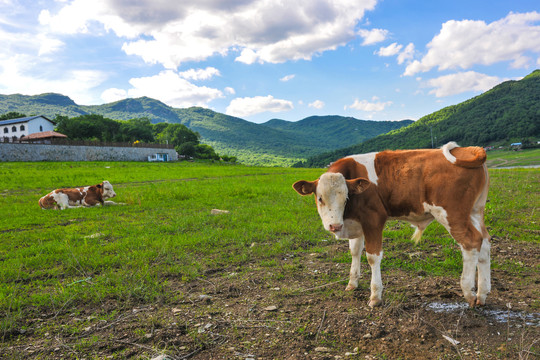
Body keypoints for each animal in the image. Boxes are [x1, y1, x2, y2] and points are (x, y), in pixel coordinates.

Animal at [294, 142, 492, 308]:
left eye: (346, 197)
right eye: (320, 198)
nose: (334, 226)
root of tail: (466, 149)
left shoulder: (374, 219)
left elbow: (372, 257)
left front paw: (375, 296)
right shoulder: (356, 223)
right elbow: (355, 251)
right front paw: (352, 283)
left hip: (453, 214)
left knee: (471, 243)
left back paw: (468, 293)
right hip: (475, 211)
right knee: (484, 243)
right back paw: (482, 294)